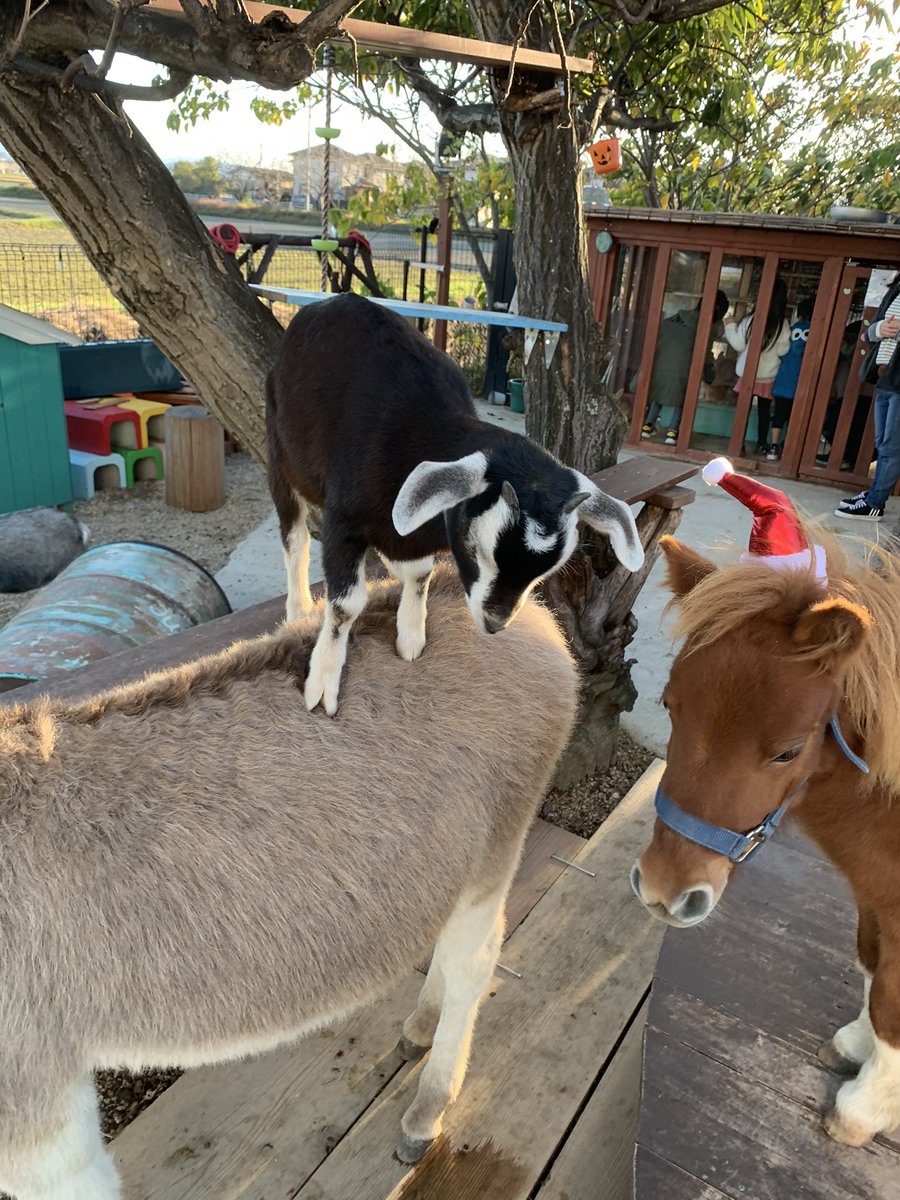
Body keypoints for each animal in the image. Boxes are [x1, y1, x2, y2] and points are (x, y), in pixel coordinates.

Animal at [628, 532, 900, 1142]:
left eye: (789, 751)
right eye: (668, 705)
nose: (663, 890)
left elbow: (891, 1005)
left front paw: (862, 1110)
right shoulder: (878, 904)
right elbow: (874, 972)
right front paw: (855, 1047)